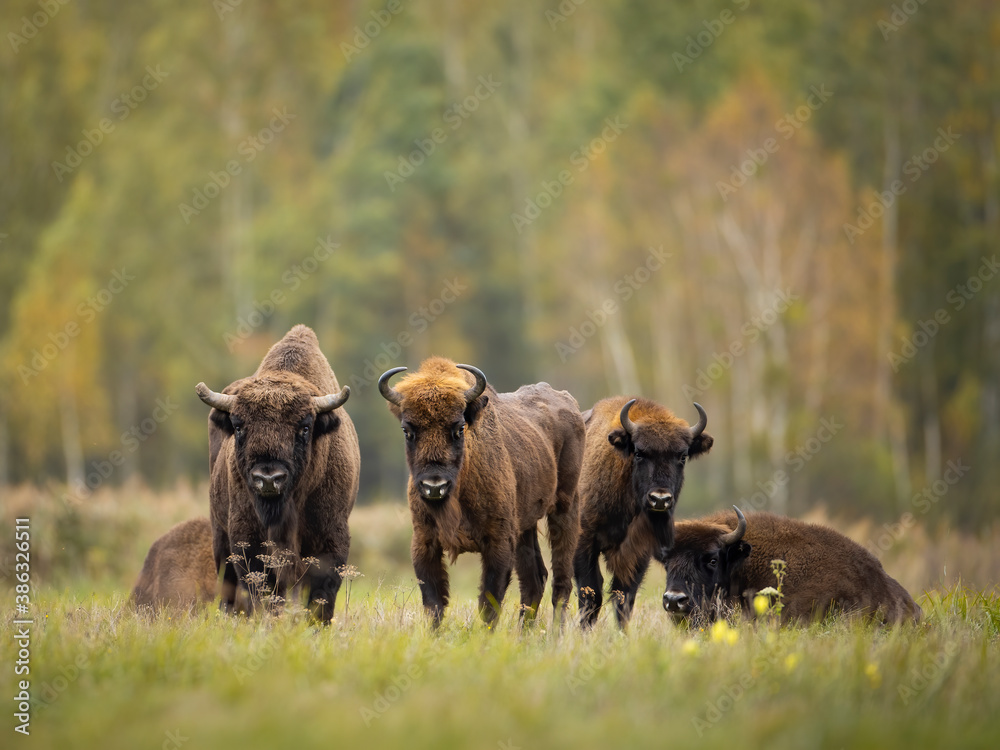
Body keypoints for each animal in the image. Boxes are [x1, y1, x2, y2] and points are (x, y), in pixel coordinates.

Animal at [196, 324, 359, 622]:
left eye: (305, 427)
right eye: (238, 426)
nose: (269, 479)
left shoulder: (331, 537)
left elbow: (321, 594)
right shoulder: (246, 537)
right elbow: (262, 588)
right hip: (219, 534)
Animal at [378, 357, 584, 627]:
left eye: (459, 428)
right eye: (407, 430)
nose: (435, 486)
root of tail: (570, 403)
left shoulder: (498, 542)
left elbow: (489, 603)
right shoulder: (425, 541)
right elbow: (434, 603)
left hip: (565, 507)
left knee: (562, 580)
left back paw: (554, 633)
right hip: (526, 525)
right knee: (535, 579)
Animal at [575, 396, 713, 628]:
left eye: (682, 456)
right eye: (639, 453)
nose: (660, 499)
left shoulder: (638, 552)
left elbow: (624, 597)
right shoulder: (584, 542)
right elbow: (591, 594)